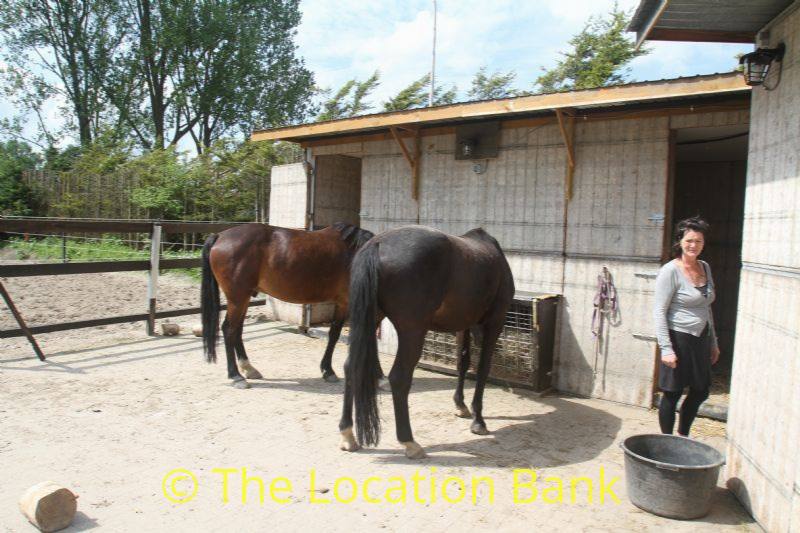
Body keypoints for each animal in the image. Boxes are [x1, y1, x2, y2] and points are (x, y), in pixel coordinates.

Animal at [201, 222, 374, 389]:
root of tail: (219, 236)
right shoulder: (348, 301)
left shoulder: (342, 303)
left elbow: (334, 334)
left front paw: (328, 371)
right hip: (238, 298)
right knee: (229, 329)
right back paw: (236, 376)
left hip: (243, 298)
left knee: (237, 329)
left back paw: (248, 369)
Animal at [338, 225, 515, 459]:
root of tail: (377, 244)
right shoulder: (495, 322)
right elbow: (483, 368)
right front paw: (479, 421)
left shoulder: (464, 325)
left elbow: (463, 363)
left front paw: (461, 405)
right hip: (413, 331)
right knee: (399, 377)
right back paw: (410, 442)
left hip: (369, 320)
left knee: (352, 367)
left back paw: (348, 435)